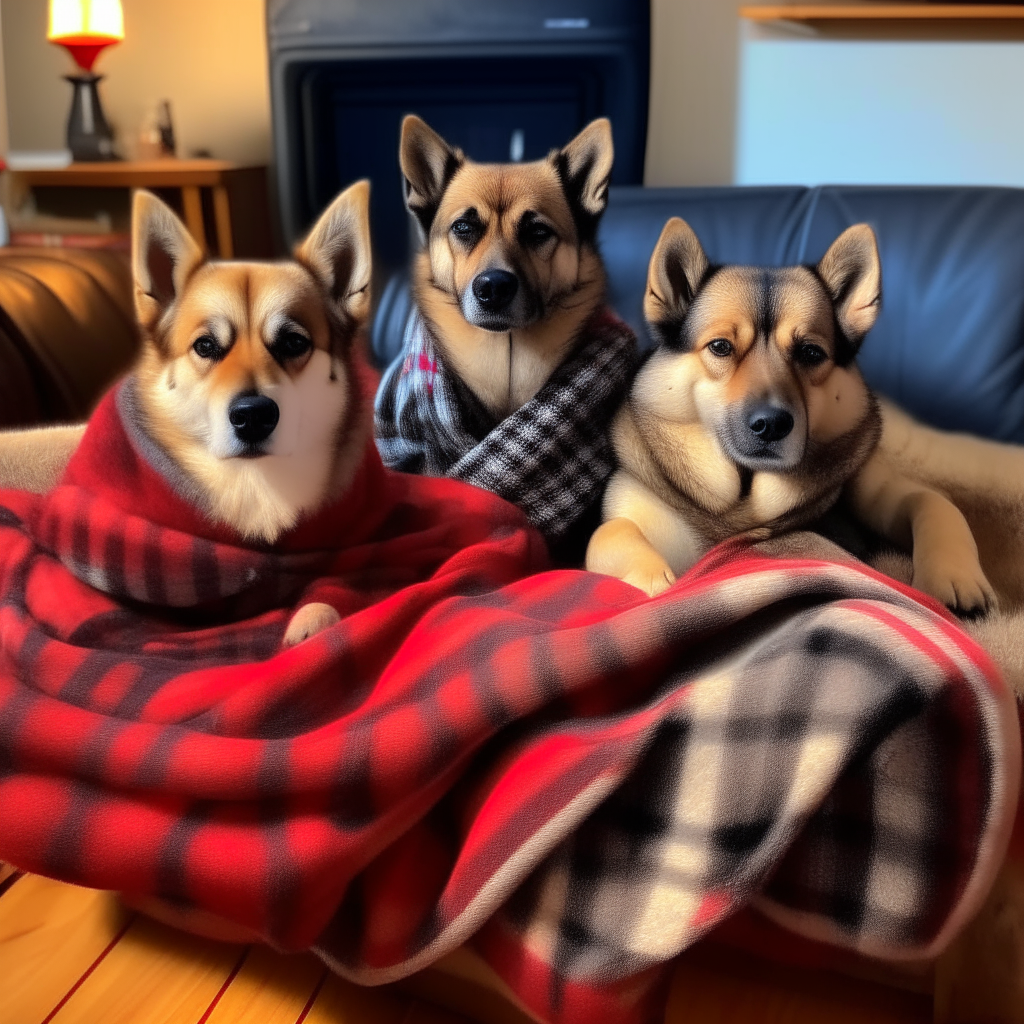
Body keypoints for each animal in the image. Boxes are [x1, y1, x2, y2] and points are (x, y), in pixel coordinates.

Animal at [589, 216, 995, 614]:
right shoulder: (631, 502)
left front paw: (954, 576)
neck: (745, 497)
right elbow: (608, 531)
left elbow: (933, 500)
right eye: (720, 347)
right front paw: (653, 582)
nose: (772, 425)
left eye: (810, 353)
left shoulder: (874, 487)